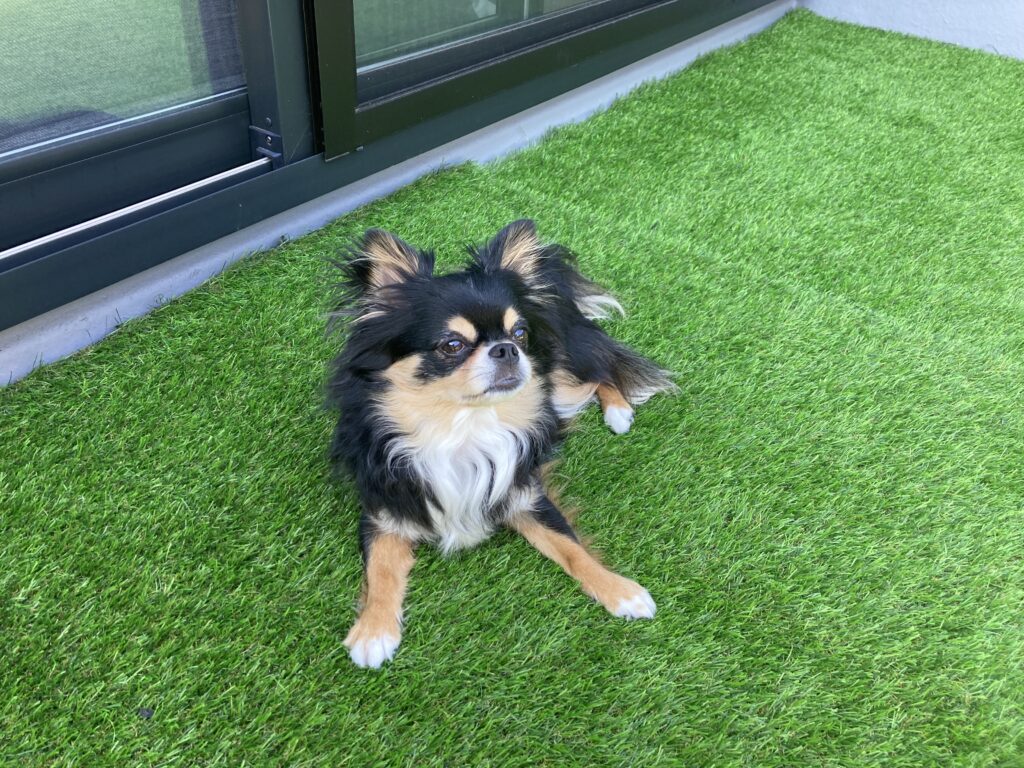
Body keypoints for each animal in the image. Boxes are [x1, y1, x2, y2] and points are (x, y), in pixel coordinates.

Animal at [327, 220, 675, 668]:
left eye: (520, 333)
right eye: (452, 345)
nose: (507, 348)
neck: (461, 426)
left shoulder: (526, 495)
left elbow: (572, 547)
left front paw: (621, 590)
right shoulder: (384, 509)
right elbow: (381, 568)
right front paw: (374, 630)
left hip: (560, 367)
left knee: (601, 370)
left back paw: (618, 411)